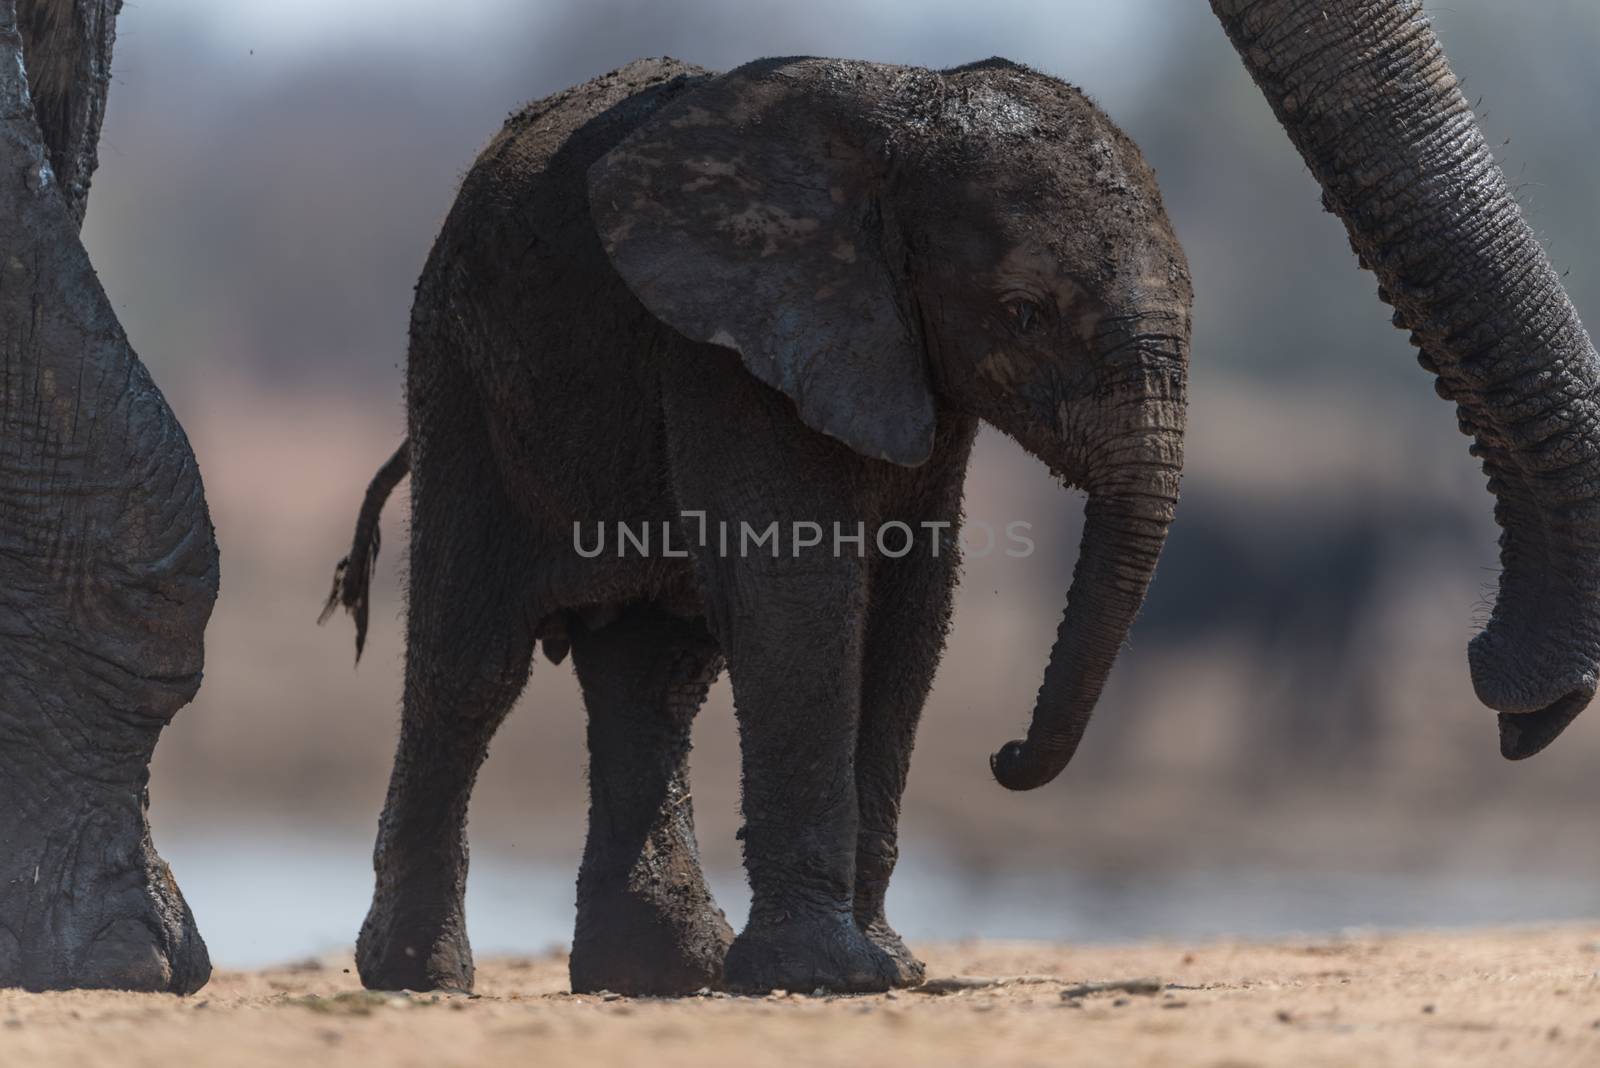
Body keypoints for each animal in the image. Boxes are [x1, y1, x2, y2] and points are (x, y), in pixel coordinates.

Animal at [324, 56, 1190, 991]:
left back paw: (657, 974)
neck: (898, 128)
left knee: (654, 675)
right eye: (1024, 312)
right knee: (472, 662)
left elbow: (910, 611)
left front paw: (885, 968)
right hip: (458, 373)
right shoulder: (733, 350)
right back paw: (419, 974)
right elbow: (801, 593)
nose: (1005, 756)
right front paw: (826, 974)